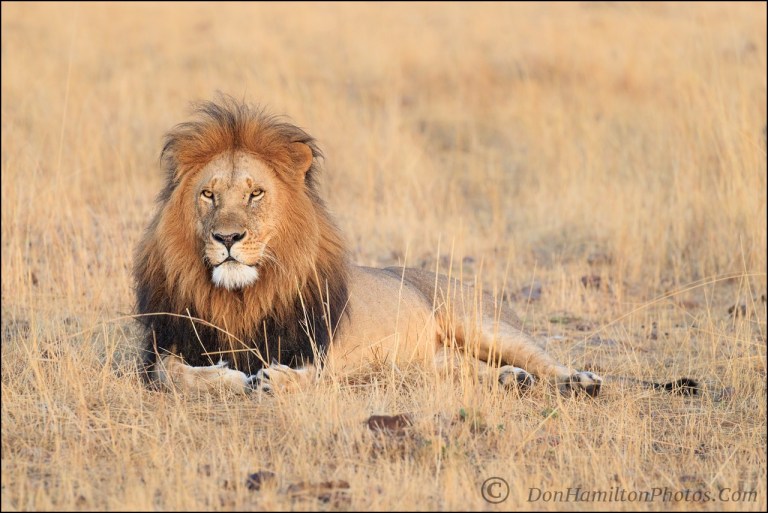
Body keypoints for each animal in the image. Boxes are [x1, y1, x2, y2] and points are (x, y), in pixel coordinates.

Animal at [133, 96, 607, 397]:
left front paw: (273, 380)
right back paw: (512, 379)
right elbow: (171, 375)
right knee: (470, 371)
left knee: (542, 359)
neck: (240, 297)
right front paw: (231, 378)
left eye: (255, 194)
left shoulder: (319, 347)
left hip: (482, 323)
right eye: (208, 195)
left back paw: (579, 381)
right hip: (430, 364)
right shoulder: (163, 346)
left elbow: (306, 373)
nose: (227, 238)